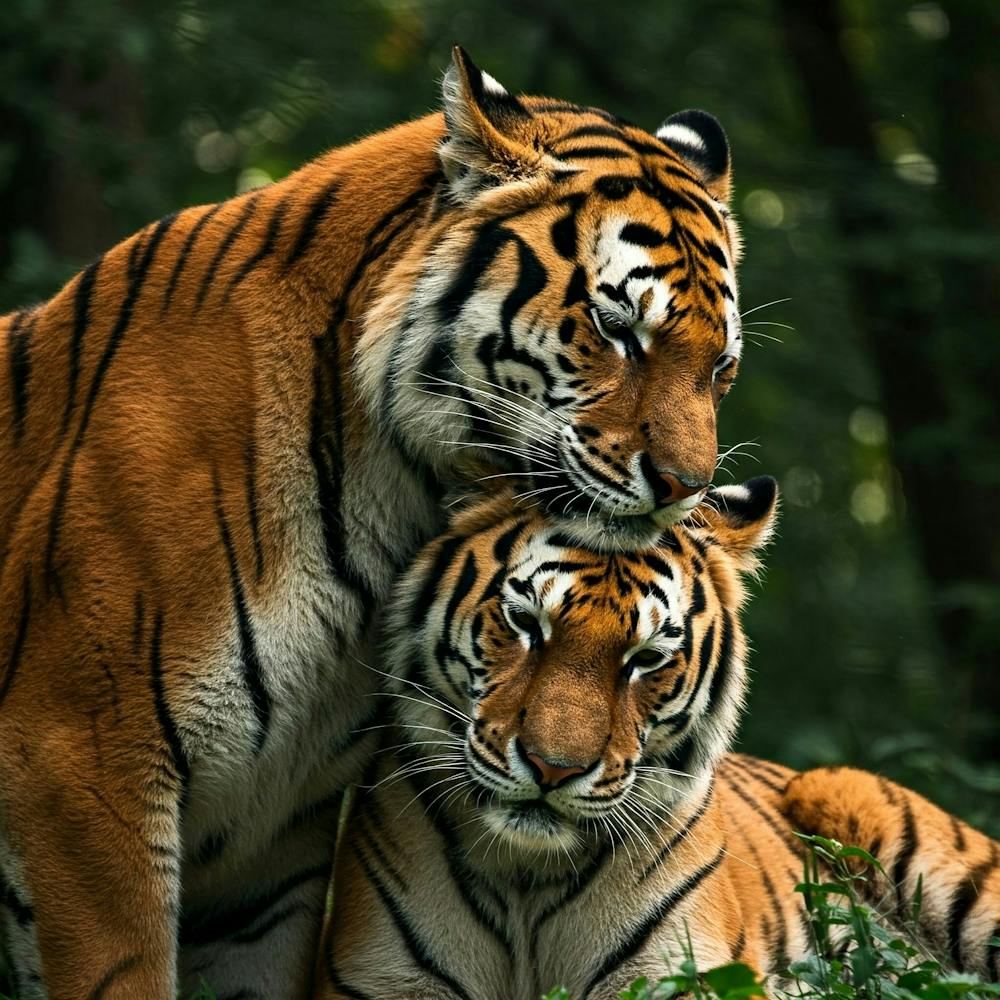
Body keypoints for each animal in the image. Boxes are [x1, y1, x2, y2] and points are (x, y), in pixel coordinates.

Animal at [0, 46, 748, 999]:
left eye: (721, 368)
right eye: (618, 329)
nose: (687, 488)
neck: (389, 493)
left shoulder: (273, 836)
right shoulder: (80, 758)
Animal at [316, 477, 1000, 999]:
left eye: (645, 658)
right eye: (525, 623)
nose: (553, 769)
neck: (525, 880)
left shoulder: (683, 975)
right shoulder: (381, 979)